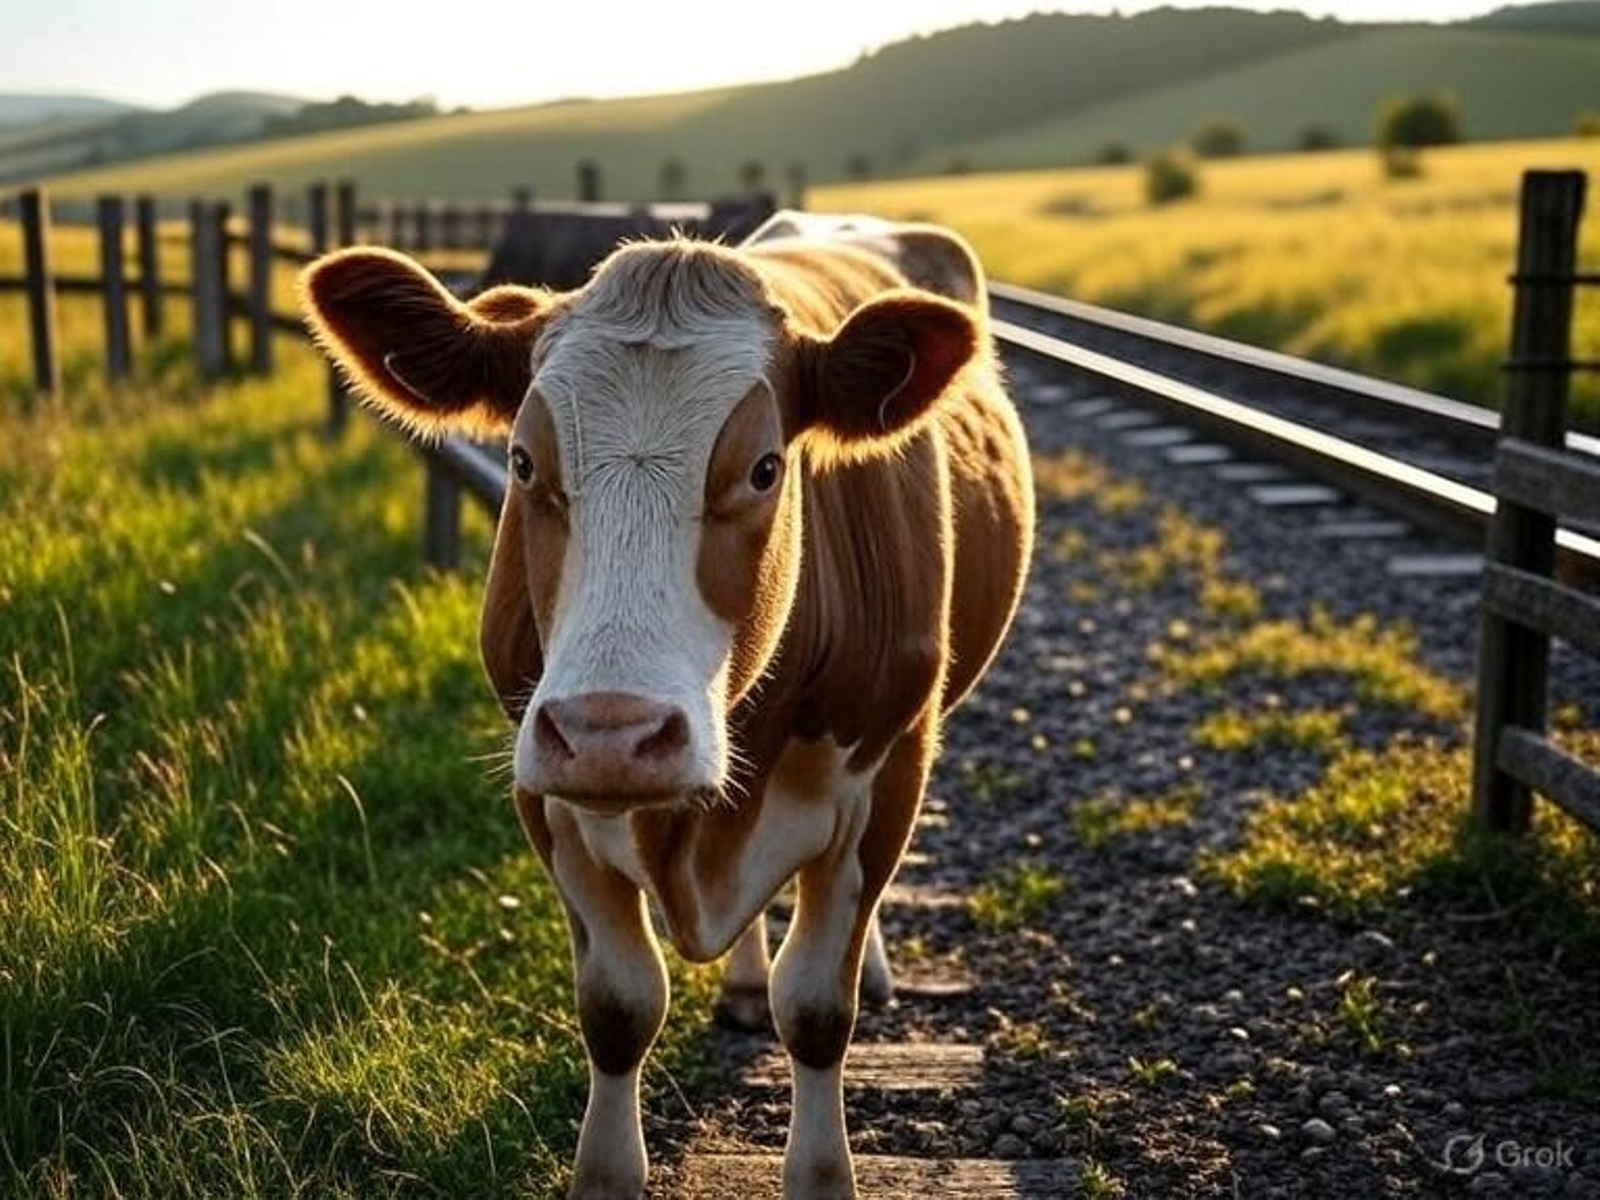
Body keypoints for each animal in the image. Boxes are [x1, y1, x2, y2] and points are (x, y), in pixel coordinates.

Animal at [301, 213, 1034, 1199]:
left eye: (764, 469)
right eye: (523, 462)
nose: (612, 735)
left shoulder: (890, 765)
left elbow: (817, 1008)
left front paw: (821, 1169)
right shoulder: (545, 785)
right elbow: (618, 1006)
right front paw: (607, 1170)